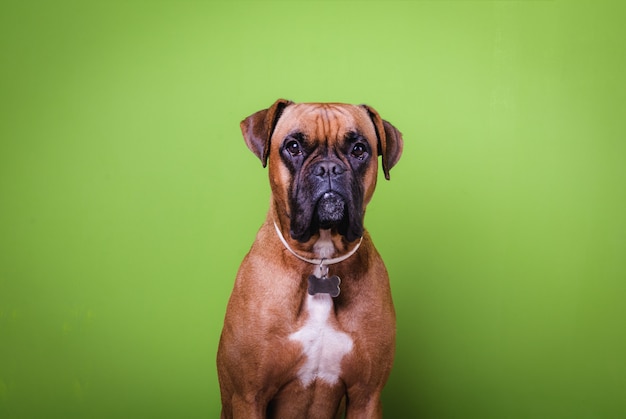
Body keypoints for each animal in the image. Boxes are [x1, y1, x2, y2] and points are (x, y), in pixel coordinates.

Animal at [217, 100, 402, 418]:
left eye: (359, 149)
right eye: (293, 146)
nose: (328, 168)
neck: (321, 261)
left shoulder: (366, 397)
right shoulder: (249, 397)